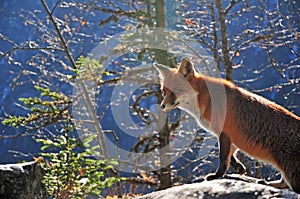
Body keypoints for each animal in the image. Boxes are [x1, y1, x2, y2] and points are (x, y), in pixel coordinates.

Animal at [155, 57, 300, 193]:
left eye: (175, 91)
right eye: (164, 92)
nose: (162, 106)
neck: (206, 99)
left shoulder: (224, 132)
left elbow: (223, 159)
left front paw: (217, 175)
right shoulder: (232, 137)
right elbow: (232, 156)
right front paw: (239, 168)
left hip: (291, 175)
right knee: (283, 183)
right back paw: (269, 183)